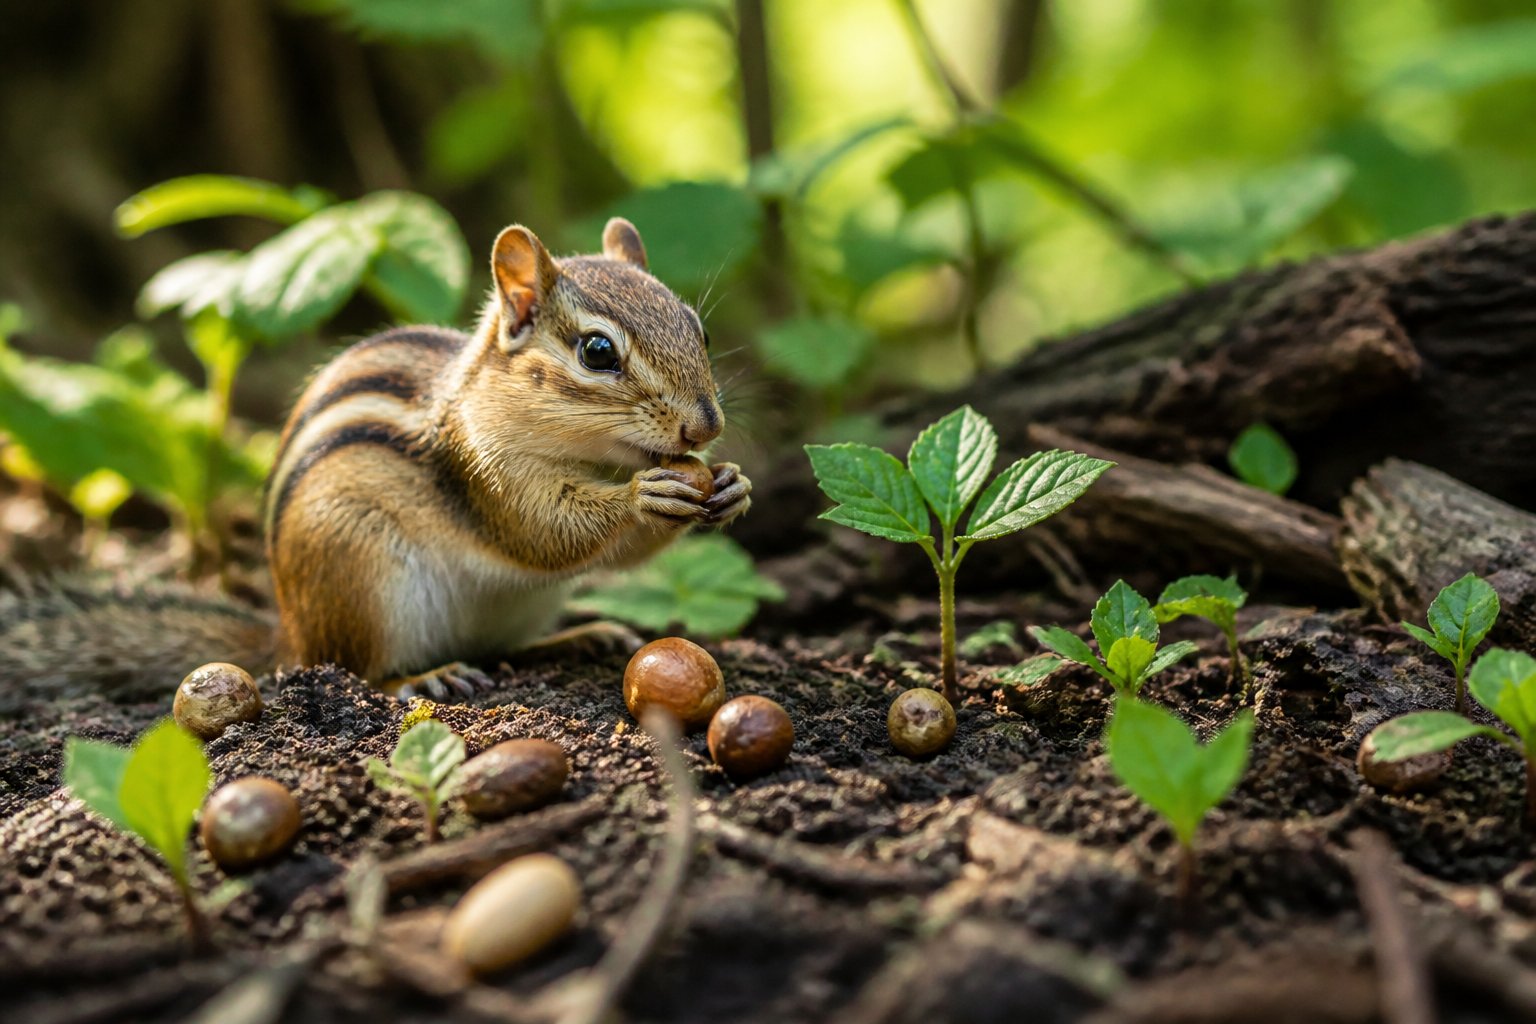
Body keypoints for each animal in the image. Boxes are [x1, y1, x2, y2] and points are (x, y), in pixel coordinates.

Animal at [0, 218, 751, 709]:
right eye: (597, 353)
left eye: (699, 330)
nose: (706, 425)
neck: (590, 457)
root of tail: (289, 632)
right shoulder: (481, 469)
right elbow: (541, 530)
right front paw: (640, 497)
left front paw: (732, 486)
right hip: (360, 574)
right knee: (356, 668)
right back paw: (418, 678)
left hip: (516, 608)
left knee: (500, 649)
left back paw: (579, 635)